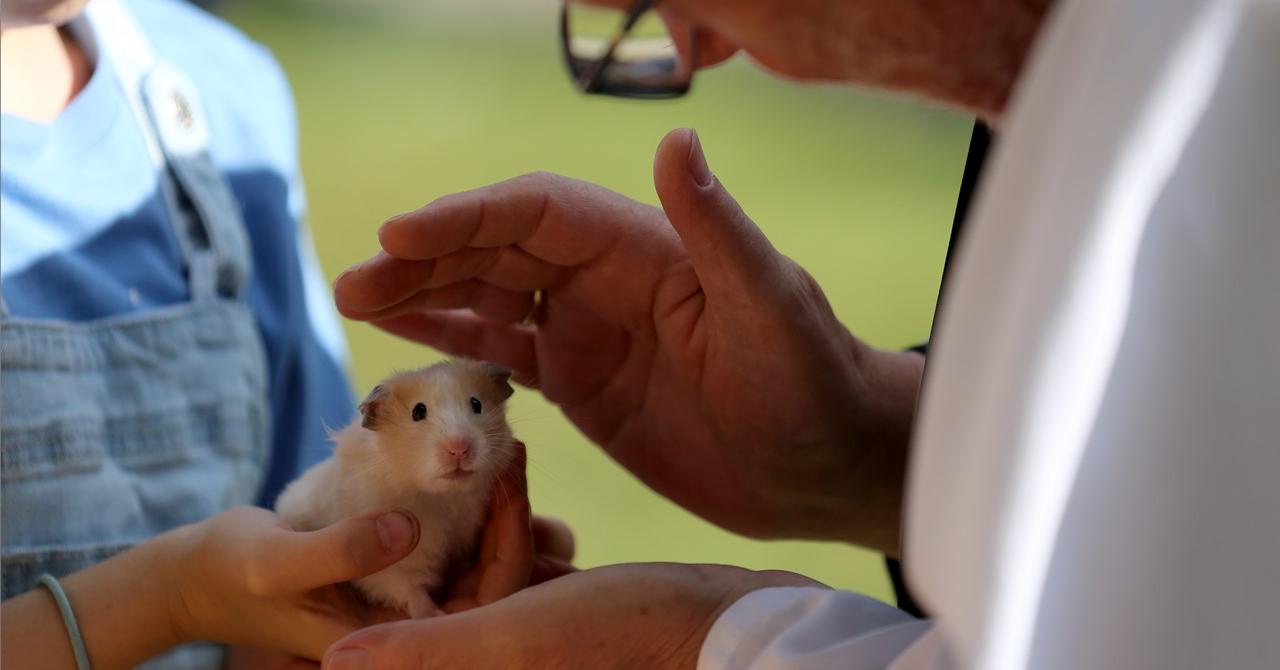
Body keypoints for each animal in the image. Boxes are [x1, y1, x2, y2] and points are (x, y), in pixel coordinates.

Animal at [275, 359, 519, 618]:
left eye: (476, 404)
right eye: (418, 411)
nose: (459, 449)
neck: (441, 497)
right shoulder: (394, 568)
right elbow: (410, 590)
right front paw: (434, 613)